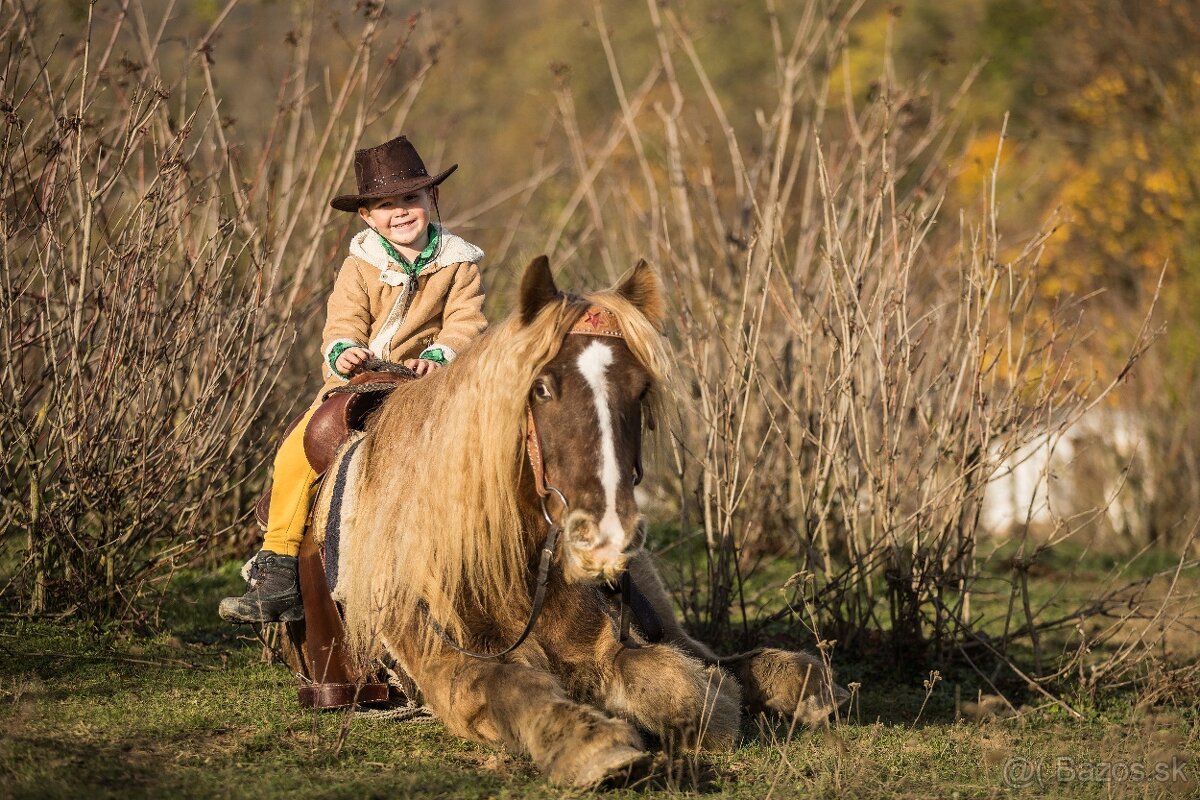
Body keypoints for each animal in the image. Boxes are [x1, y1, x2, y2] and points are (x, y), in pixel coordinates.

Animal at [312, 257, 854, 786]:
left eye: (641, 389)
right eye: (541, 388)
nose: (607, 536)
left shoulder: (610, 646)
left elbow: (687, 689)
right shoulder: (447, 667)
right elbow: (513, 687)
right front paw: (591, 743)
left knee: (709, 655)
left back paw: (809, 686)